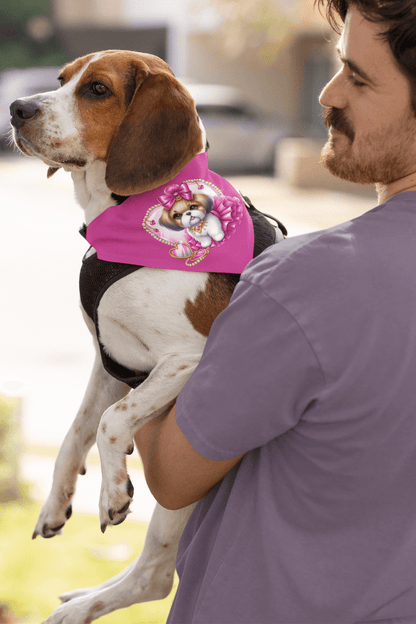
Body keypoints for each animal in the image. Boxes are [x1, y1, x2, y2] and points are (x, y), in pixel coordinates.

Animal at [10, 51, 282, 620]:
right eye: (61, 80)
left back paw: (77, 609)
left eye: (97, 90)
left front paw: (111, 492)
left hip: (182, 491)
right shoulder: (109, 359)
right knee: (152, 573)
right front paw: (57, 501)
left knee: (156, 577)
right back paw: (81, 599)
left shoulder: (189, 358)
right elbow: (77, 430)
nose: (17, 108)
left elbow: (112, 421)